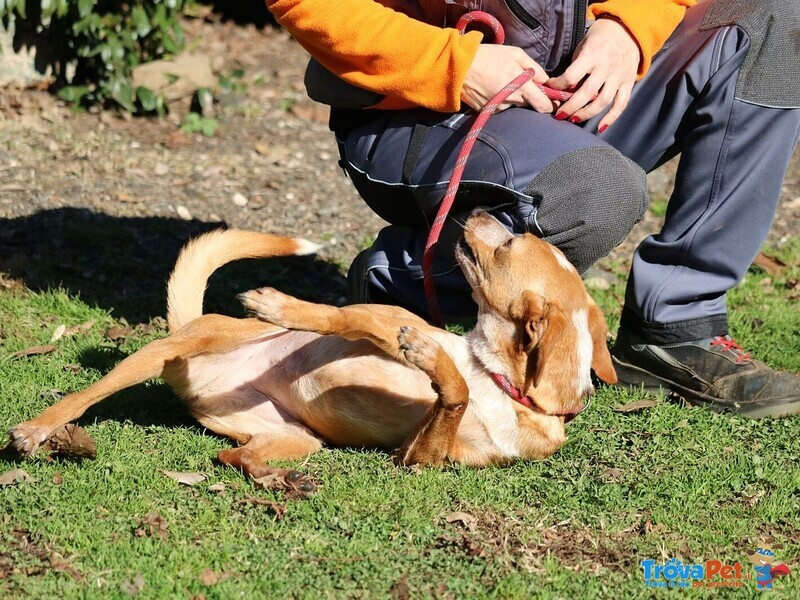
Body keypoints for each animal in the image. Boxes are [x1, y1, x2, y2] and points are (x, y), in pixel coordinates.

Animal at [6, 211, 616, 488]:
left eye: (508, 244)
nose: (486, 210)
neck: (504, 384)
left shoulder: (415, 458)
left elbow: (454, 392)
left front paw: (429, 356)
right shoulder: (378, 317)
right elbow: (337, 316)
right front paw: (278, 305)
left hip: (296, 438)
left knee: (234, 457)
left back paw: (273, 478)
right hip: (166, 353)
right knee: (88, 393)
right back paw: (41, 428)